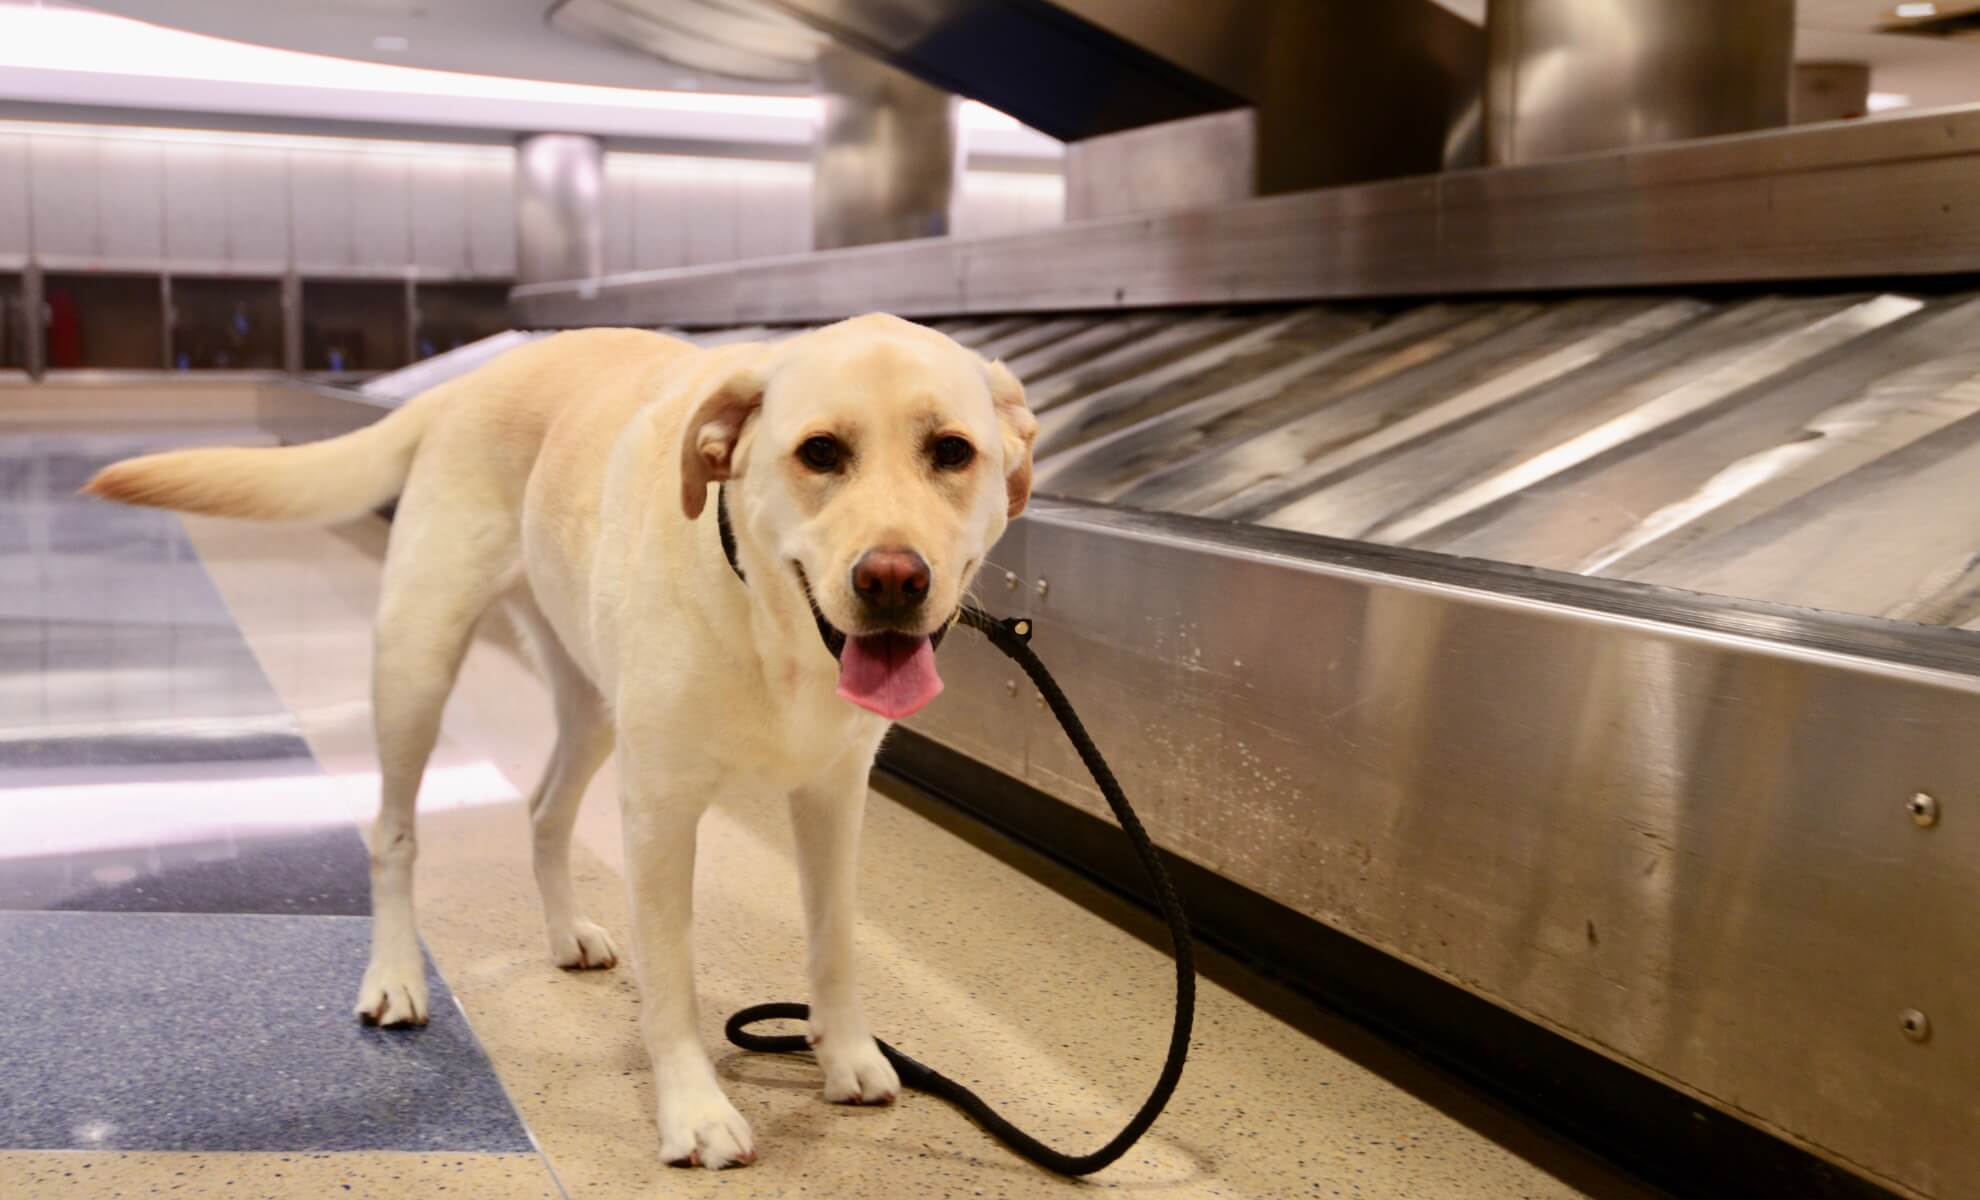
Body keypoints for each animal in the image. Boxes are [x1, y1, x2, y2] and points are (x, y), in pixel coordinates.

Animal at [83, 314, 1037, 1172]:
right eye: (821, 452)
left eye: (952, 452)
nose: (892, 579)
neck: (776, 627)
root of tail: (468, 380)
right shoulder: (660, 813)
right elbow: (674, 978)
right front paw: (693, 1111)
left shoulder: (835, 796)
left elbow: (832, 944)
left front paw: (845, 1055)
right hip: (416, 665)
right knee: (393, 834)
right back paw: (395, 976)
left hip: (592, 704)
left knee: (542, 811)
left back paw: (564, 931)